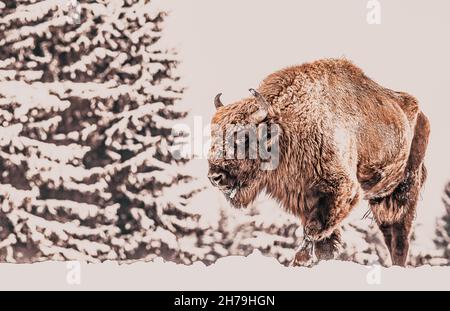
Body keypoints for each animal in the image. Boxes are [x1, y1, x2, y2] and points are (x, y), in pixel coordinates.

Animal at [209, 59, 430, 268]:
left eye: (245, 137)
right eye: (213, 135)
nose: (215, 176)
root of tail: (421, 115)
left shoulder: (342, 190)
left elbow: (314, 230)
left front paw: (299, 261)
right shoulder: (307, 197)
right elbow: (325, 242)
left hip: (405, 190)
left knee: (400, 237)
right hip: (380, 200)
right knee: (389, 234)